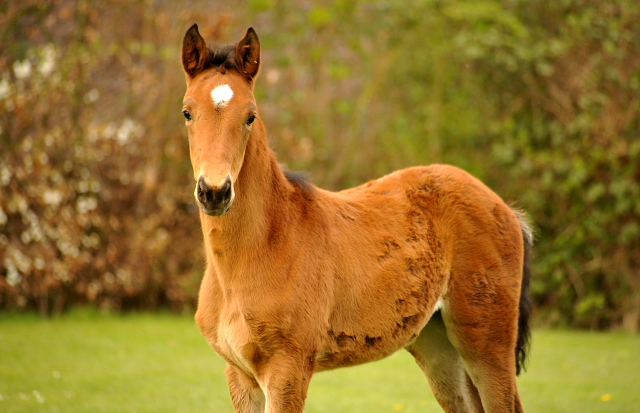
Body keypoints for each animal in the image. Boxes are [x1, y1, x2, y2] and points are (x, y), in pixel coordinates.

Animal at [179, 24, 528, 410]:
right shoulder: (239, 373)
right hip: (438, 345)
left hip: (487, 342)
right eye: (187, 112)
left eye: (250, 116)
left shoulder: (289, 367)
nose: (214, 191)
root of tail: (504, 207)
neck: (264, 246)